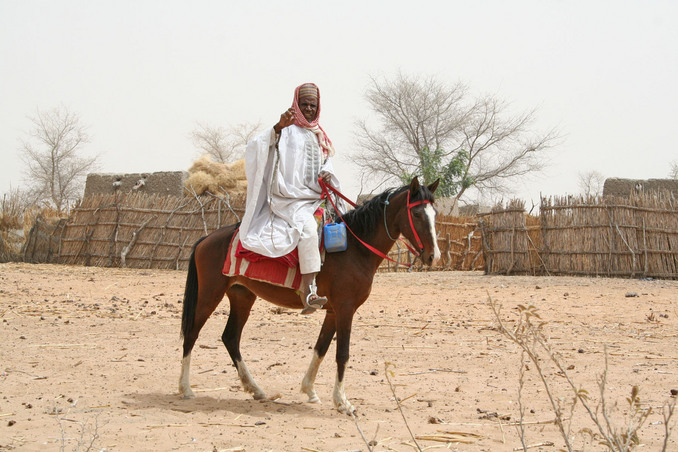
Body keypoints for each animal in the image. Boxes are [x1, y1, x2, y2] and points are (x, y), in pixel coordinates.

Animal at [181, 176, 444, 414]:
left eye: (435, 214)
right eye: (417, 214)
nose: (434, 256)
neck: (356, 248)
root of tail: (206, 239)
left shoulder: (333, 311)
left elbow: (321, 348)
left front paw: (310, 390)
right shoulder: (346, 308)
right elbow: (342, 353)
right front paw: (343, 402)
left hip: (242, 297)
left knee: (230, 338)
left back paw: (255, 389)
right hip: (209, 294)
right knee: (192, 334)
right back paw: (186, 389)